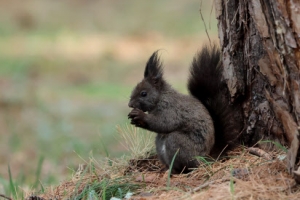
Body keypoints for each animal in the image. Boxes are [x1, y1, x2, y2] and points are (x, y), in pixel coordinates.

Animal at [127, 44, 243, 173]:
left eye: (144, 93)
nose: (130, 104)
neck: (161, 97)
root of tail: (206, 158)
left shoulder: (171, 109)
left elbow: (164, 123)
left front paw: (140, 116)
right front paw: (135, 119)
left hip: (178, 143)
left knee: (187, 165)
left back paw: (174, 170)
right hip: (161, 143)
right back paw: (165, 169)